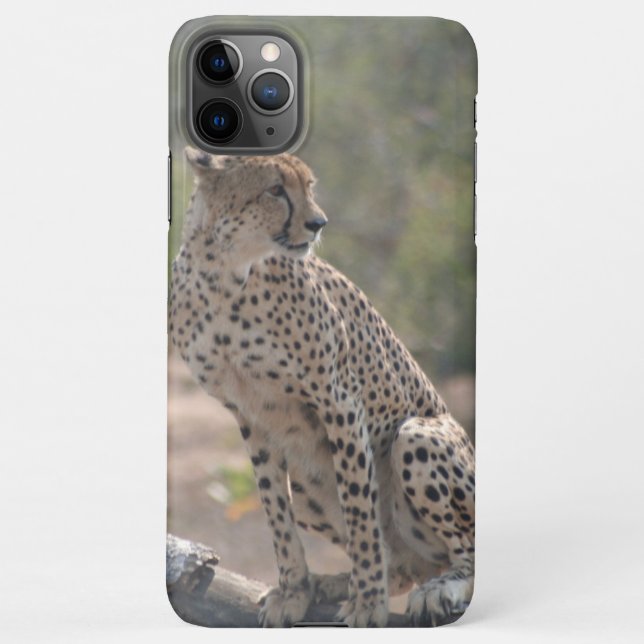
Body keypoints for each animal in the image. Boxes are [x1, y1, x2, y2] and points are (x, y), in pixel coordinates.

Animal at [169, 147, 475, 627]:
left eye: (308, 186)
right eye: (276, 190)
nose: (318, 223)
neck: (225, 273)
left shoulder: (339, 401)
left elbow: (360, 512)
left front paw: (367, 603)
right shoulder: (250, 415)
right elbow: (275, 510)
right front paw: (295, 590)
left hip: (416, 435)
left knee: (464, 551)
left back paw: (439, 587)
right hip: (307, 480)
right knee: (406, 565)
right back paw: (335, 582)